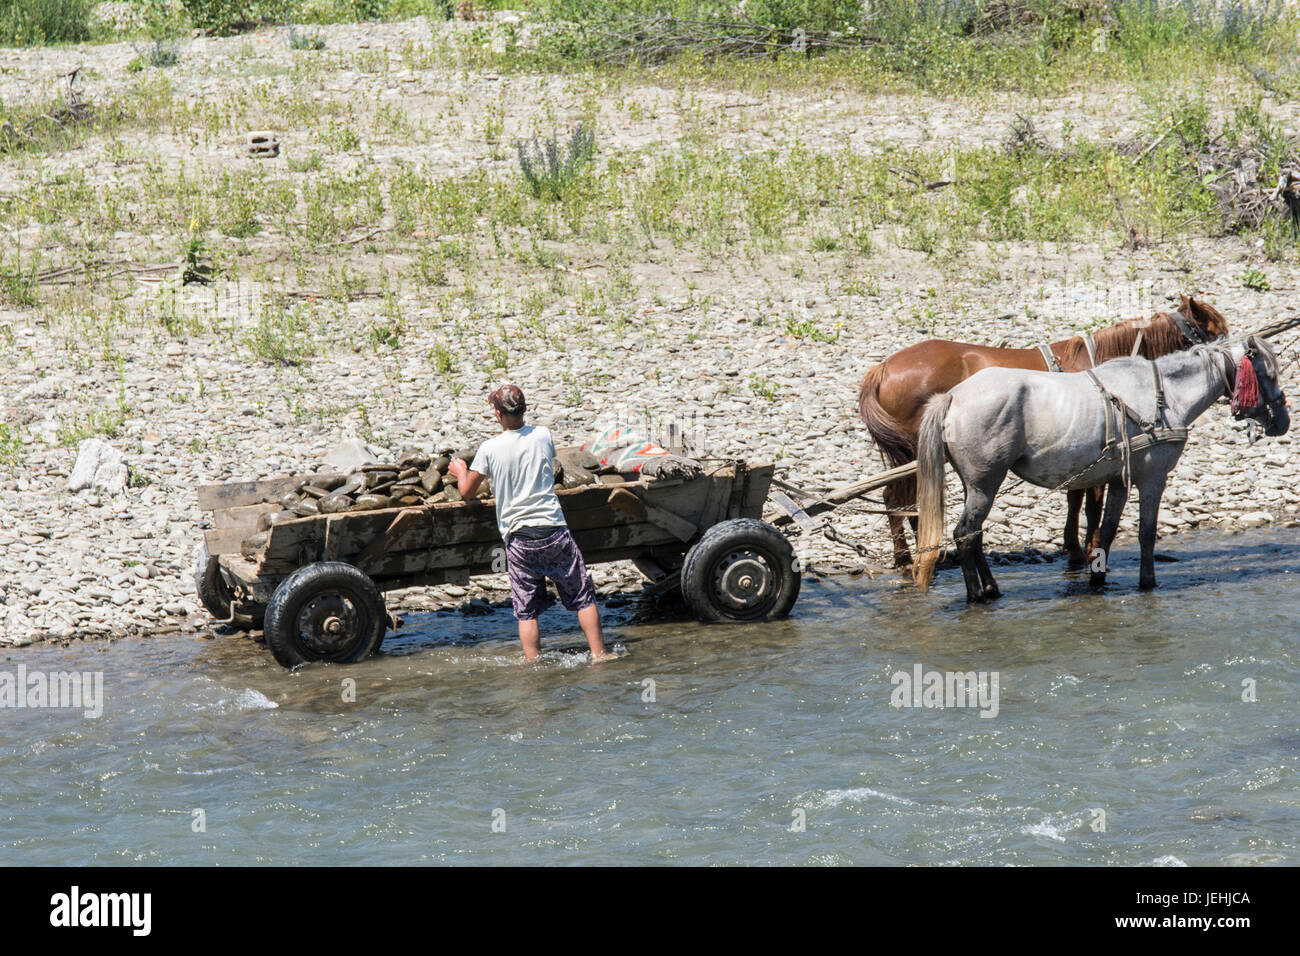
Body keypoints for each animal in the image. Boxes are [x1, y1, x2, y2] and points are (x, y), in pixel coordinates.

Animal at [857, 295, 1229, 572]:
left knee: (902, 498)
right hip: (911, 450)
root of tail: (883, 368)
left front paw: (1075, 548)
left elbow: (1076, 498)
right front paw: (1088, 550)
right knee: (899, 498)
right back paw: (910, 558)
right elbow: (1090, 504)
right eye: (1217, 331)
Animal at [912, 335, 1289, 602]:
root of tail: (954, 396)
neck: (1164, 396)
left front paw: (1098, 578)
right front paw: (1147, 582)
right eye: (1269, 374)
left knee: (974, 534)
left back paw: (991, 588)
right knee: (965, 534)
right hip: (984, 484)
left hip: (975, 486)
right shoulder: (1153, 478)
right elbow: (1146, 533)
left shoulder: (1119, 481)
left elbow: (1106, 530)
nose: (1283, 421)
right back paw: (977, 594)